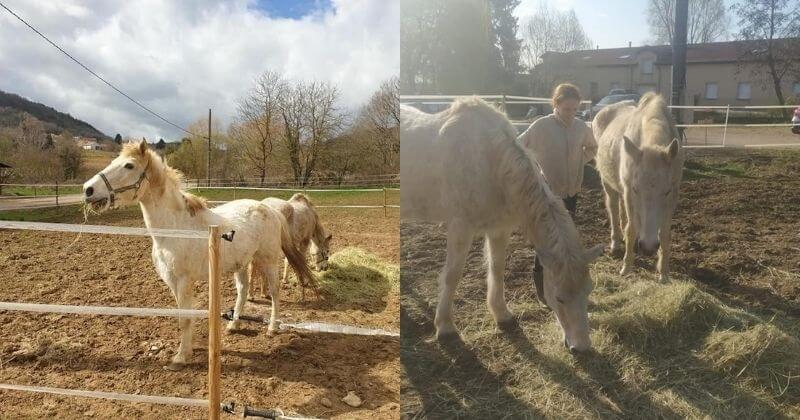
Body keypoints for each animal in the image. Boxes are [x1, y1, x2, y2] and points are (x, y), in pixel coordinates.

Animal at [82, 140, 316, 368]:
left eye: (129, 165)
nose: (88, 189)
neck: (176, 227)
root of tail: (271, 210)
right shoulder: (172, 281)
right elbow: (181, 317)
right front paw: (187, 351)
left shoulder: (185, 280)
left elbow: (185, 318)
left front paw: (181, 357)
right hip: (241, 264)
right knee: (243, 290)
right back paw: (234, 324)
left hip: (268, 261)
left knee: (275, 292)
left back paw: (272, 328)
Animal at [404, 97, 604, 352]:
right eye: (559, 297)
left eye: (589, 290)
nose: (582, 347)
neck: (490, 160)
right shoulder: (460, 227)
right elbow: (452, 276)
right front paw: (445, 327)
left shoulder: (499, 229)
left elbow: (497, 269)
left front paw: (502, 315)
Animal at [592, 92, 684, 282]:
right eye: (636, 189)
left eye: (666, 191)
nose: (648, 247)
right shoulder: (628, 191)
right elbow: (631, 228)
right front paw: (626, 267)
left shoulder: (674, 194)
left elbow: (665, 234)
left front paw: (664, 273)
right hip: (609, 184)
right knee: (613, 210)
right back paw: (616, 243)